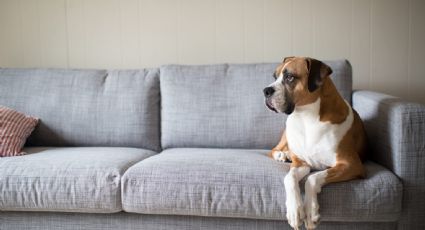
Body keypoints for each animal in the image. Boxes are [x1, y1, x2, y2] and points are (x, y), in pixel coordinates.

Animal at [260, 56, 366, 230]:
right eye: (275, 77)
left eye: (290, 77)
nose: (266, 90)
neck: (306, 117)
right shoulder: (300, 164)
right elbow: (289, 178)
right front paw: (294, 211)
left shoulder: (351, 165)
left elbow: (312, 179)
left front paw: (310, 212)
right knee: (274, 149)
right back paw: (282, 155)